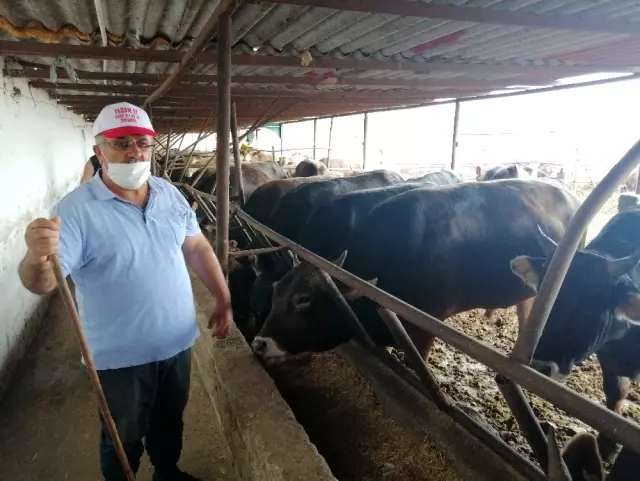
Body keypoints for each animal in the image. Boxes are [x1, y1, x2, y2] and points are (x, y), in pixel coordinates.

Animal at [508, 208, 640, 460]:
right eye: (543, 293)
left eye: (590, 305)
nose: (539, 366)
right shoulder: (611, 362)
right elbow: (616, 394)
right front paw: (607, 447)